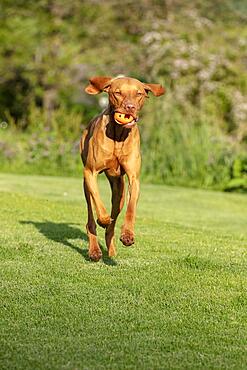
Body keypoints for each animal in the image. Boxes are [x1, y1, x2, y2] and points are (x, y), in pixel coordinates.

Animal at [80, 75, 164, 260]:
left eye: (139, 93)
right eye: (117, 93)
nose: (130, 107)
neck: (118, 134)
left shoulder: (134, 179)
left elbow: (131, 208)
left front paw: (128, 235)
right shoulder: (90, 172)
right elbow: (98, 201)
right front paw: (103, 219)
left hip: (119, 192)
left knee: (112, 222)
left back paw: (111, 251)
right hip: (86, 185)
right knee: (90, 217)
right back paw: (94, 249)